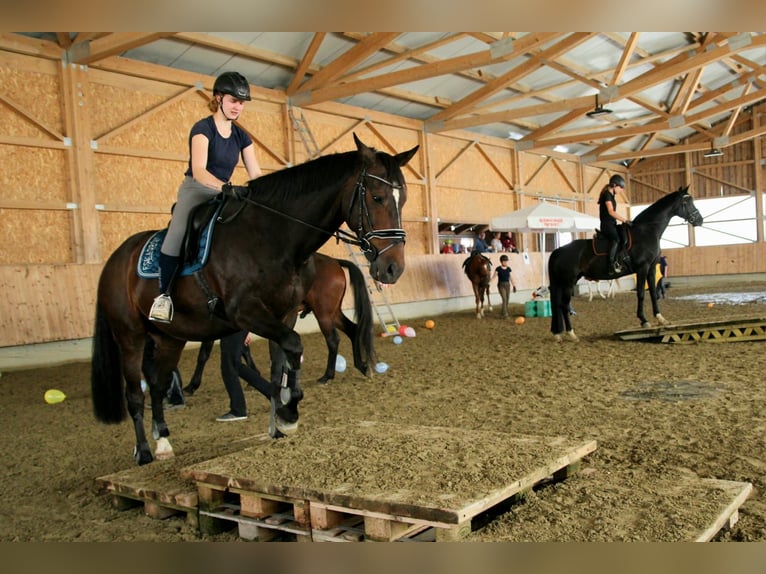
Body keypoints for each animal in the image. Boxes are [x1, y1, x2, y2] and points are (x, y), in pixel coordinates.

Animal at [184, 252, 378, 392]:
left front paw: (191, 385)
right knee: (353, 330)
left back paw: (327, 376)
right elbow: (243, 350)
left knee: (333, 340)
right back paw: (361, 366)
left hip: (324, 315)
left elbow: (204, 355)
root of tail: (334, 262)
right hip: (333, 313)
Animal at [548, 187, 704, 342]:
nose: (700, 220)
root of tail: (558, 251)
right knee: (564, 305)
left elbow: (653, 293)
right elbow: (641, 293)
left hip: (564, 282)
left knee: (559, 305)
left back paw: (558, 334)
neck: (646, 231)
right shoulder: (642, 268)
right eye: (686, 202)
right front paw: (644, 321)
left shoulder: (651, 268)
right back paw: (571, 334)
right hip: (568, 282)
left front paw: (660, 318)